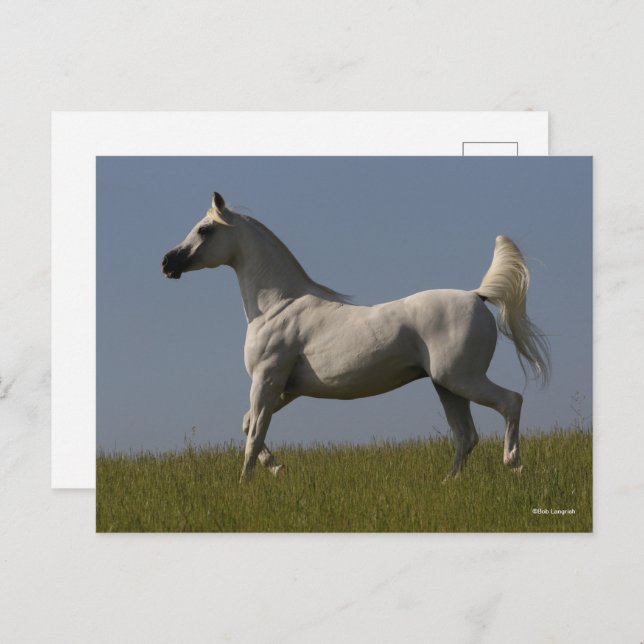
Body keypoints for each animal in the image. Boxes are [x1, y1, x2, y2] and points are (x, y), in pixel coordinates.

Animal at [161, 192, 550, 482]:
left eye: (204, 229)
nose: (167, 263)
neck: (277, 306)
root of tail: (477, 295)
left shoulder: (266, 380)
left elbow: (254, 435)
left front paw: (244, 484)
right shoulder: (287, 388)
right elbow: (248, 426)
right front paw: (278, 468)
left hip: (462, 379)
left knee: (510, 402)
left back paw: (514, 464)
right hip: (446, 385)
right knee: (466, 436)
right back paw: (447, 483)